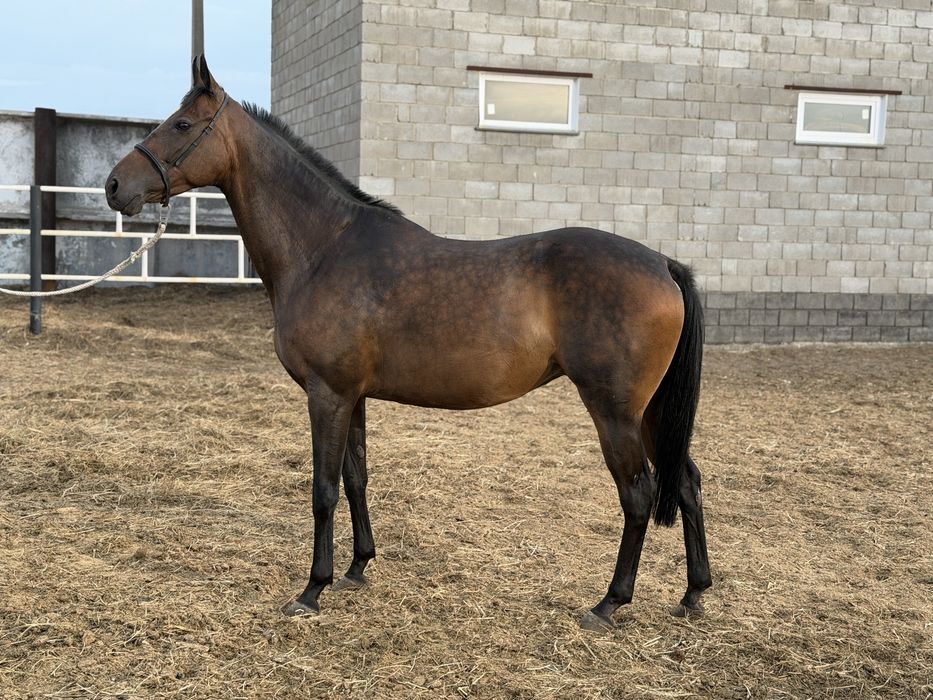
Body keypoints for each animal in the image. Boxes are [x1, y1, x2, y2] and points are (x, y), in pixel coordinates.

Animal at [105, 56, 711, 631]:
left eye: (182, 124)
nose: (114, 186)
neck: (324, 248)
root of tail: (663, 263)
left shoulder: (326, 394)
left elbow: (323, 489)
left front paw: (312, 589)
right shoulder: (352, 397)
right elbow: (356, 478)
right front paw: (356, 568)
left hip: (615, 410)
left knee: (638, 494)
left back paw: (609, 604)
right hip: (650, 411)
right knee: (685, 481)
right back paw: (693, 595)